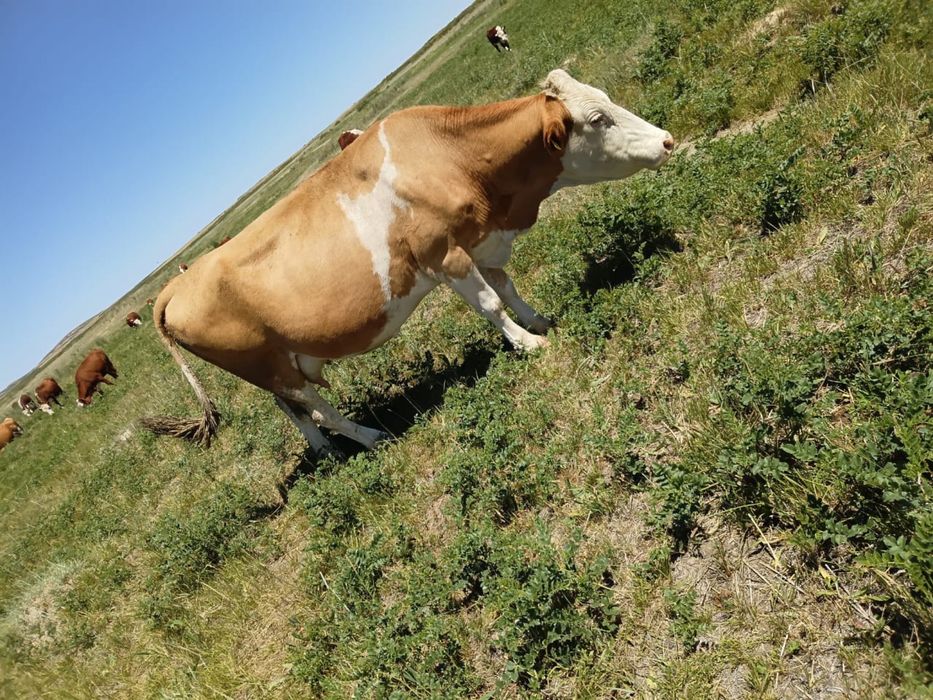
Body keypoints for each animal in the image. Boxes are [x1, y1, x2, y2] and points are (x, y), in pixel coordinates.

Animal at [141, 69, 673, 454]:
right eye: (598, 118)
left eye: (604, 97)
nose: (667, 140)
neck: (450, 156)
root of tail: (176, 286)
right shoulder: (445, 254)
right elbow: (490, 304)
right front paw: (529, 345)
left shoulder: (481, 239)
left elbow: (507, 287)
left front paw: (540, 321)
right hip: (266, 363)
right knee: (314, 405)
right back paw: (371, 437)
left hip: (274, 362)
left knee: (292, 410)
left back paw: (324, 451)